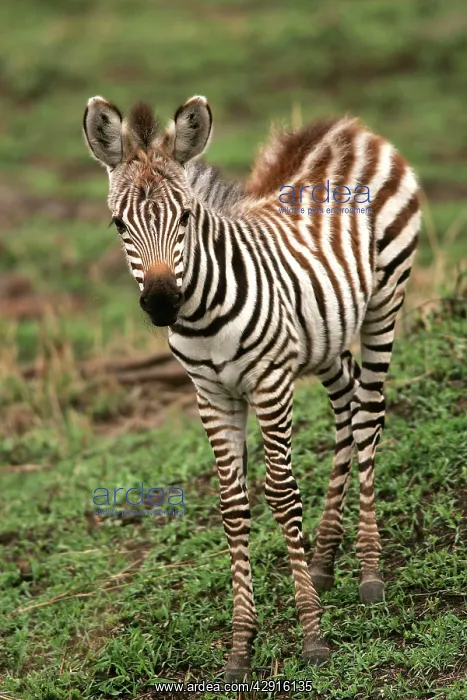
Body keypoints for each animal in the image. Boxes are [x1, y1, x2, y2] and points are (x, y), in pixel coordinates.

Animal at [83, 95, 420, 680]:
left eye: (186, 216)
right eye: (118, 223)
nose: (162, 303)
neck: (201, 314)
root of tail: (346, 128)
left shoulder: (269, 383)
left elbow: (281, 495)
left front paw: (312, 636)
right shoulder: (211, 396)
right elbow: (233, 506)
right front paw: (241, 646)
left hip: (386, 298)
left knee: (369, 414)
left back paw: (369, 570)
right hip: (324, 334)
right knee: (347, 406)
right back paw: (325, 558)